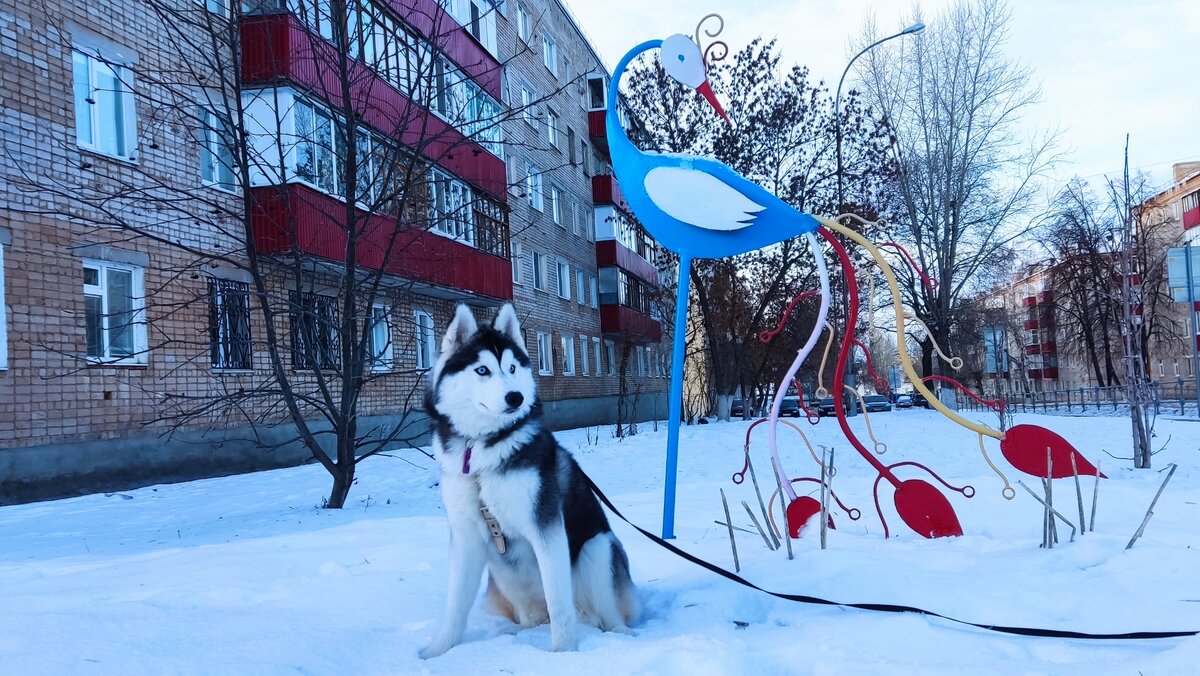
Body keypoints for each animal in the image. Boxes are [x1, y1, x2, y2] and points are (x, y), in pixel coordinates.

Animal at [420, 303, 633, 657]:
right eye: (482, 370)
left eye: (511, 367)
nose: (516, 397)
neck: (482, 452)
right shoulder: (465, 535)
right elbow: (455, 603)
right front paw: (439, 650)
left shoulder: (546, 526)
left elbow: (559, 603)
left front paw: (562, 654)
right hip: (501, 580)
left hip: (598, 548)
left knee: (605, 614)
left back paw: (620, 635)